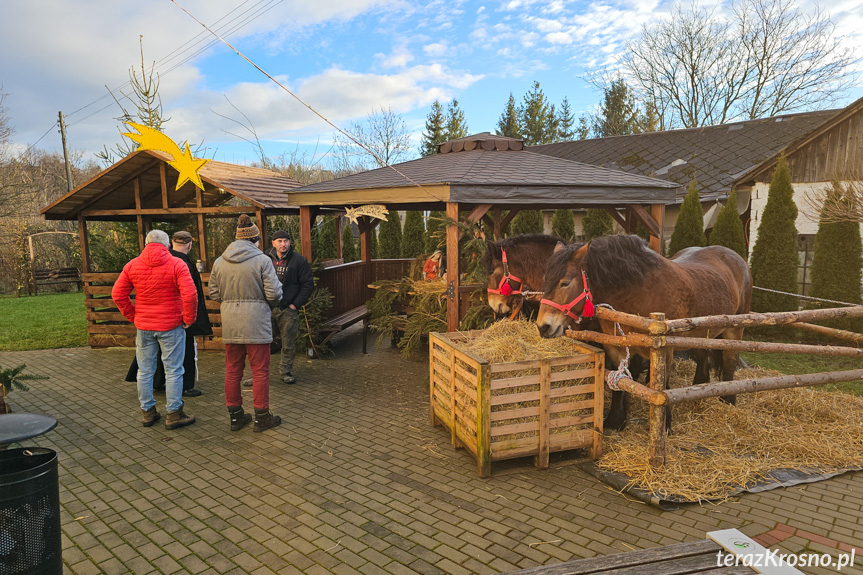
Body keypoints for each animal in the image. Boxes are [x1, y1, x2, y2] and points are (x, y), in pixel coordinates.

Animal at [536, 236, 752, 430]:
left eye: (565, 283)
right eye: (545, 280)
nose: (543, 326)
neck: (638, 293)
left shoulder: (665, 351)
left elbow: (662, 386)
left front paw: (665, 424)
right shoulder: (616, 346)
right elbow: (620, 380)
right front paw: (615, 420)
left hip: (734, 329)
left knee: (729, 362)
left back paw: (728, 400)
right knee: (702, 357)